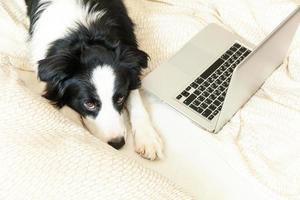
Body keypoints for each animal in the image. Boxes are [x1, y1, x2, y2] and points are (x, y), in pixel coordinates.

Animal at [24, 0, 163, 159]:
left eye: (120, 98)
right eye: (89, 104)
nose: (118, 143)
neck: (87, 33)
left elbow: (135, 98)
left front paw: (148, 138)